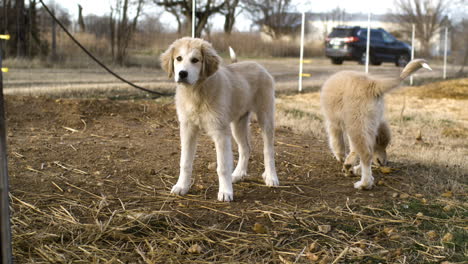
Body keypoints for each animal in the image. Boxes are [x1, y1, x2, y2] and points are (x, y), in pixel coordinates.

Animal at [161, 37, 278, 202]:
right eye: (178, 58)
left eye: (195, 60)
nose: (182, 74)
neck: (196, 93)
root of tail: (257, 65)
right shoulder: (187, 128)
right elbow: (185, 162)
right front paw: (181, 186)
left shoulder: (220, 132)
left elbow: (222, 166)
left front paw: (225, 192)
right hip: (238, 123)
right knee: (245, 148)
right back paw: (238, 174)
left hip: (265, 116)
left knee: (268, 150)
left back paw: (271, 177)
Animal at [322, 58, 432, 189]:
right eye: (381, 144)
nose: (383, 163)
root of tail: (373, 85)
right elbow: (353, 150)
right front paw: (350, 166)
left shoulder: (334, 123)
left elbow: (337, 142)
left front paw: (341, 158)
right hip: (365, 125)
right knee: (366, 153)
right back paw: (360, 173)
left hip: (356, 125)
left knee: (366, 154)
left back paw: (364, 184)